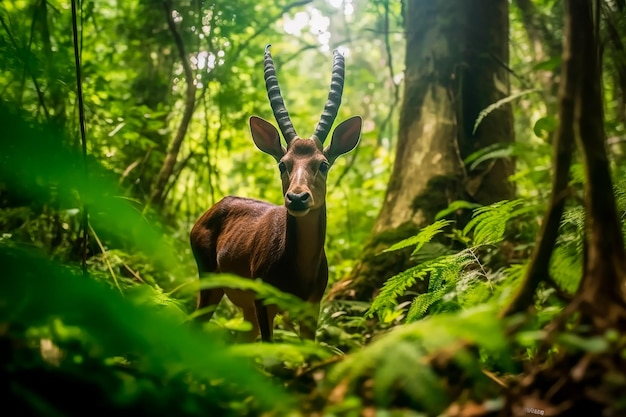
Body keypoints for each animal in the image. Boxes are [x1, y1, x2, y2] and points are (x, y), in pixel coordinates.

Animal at [188, 44, 358, 342]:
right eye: (282, 163)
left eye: (323, 164)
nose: (298, 198)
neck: (298, 274)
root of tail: (209, 211)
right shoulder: (262, 301)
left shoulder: (311, 308)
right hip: (209, 280)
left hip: (243, 309)